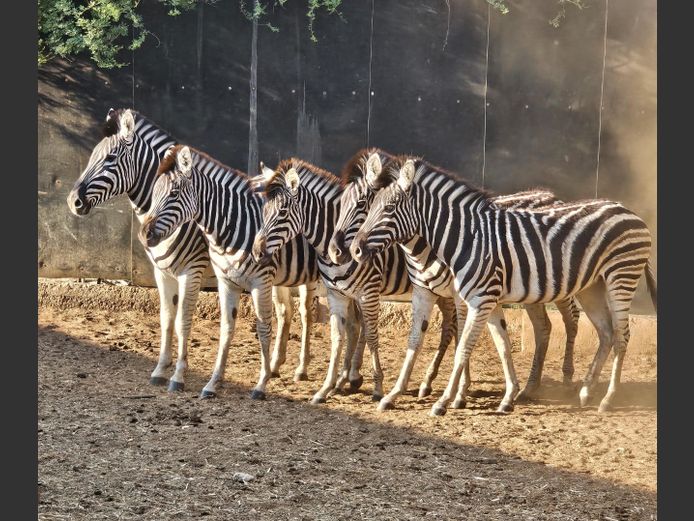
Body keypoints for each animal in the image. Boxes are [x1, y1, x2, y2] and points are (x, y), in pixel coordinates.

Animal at [66, 108, 317, 394]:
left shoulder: (192, 271)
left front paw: (178, 375)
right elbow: (166, 318)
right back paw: (275, 366)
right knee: (285, 312)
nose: (73, 201)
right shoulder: (162, 272)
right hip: (279, 275)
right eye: (92, 156)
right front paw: (160, 369)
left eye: (110, 158)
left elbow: (183, 321)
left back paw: (302, 369)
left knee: (307, 313)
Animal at [328, 149, 581, 408]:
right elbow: (410, 336)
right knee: (543, 327)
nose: (340, 251)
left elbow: (460, 338)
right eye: (341, 203)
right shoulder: (423, 291)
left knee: (571, 318)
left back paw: (567, 380)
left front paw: (459, 393)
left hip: (557, 283)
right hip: (532, 292)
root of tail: (551, 196)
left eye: (363, 204)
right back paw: (529, 388)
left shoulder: (462, 294)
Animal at [351, 156, 656, 416]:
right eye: (370, 205)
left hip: (621, 276)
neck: (465, 238)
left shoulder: (479, 299)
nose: (354, 249)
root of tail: (626, 209)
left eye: (389, 208)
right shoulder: (483, 298)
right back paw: (585, 391)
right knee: (605, 332)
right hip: (591, 286)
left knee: (620, 335)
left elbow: (463, 347)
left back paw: (607, 398)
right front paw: (508, 397)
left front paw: (446, 400)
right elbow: (501, 345)